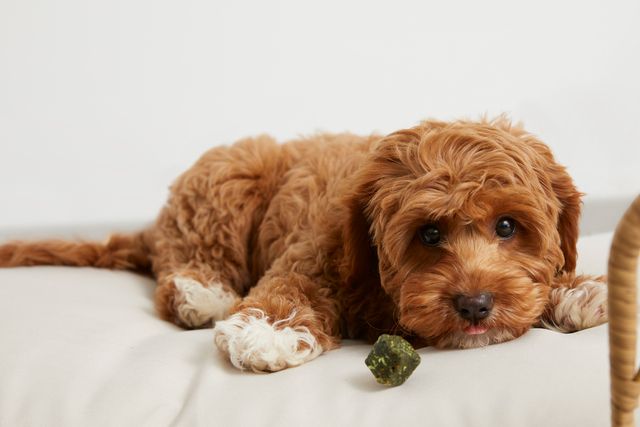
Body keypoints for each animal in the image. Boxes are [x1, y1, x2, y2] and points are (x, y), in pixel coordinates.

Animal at [0, 118, 608, 372]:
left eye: (507, 227)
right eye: (428, 234)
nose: (476, 305)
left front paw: (581, 291)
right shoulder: (316, 249)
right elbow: (292, 284)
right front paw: (268, 331)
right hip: (229, 177)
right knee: (182, 258)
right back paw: (202, 292)